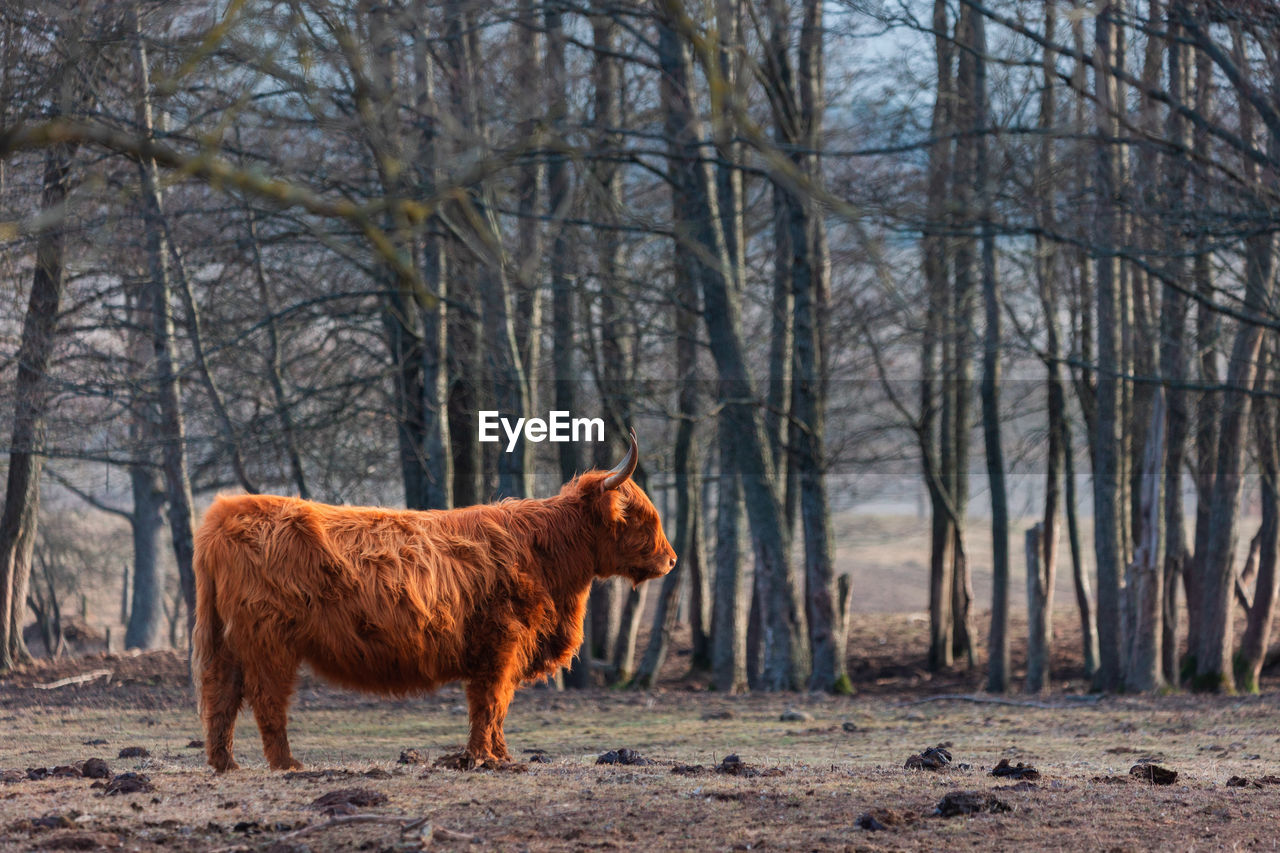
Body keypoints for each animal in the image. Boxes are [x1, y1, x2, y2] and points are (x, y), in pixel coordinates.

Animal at [189, 432, 675, 768]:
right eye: (640, 515)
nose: (670, 559)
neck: (544, 553)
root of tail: (223, 515)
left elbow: (498, 705)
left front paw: (501, 756)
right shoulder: (502, 642)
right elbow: (490, 701)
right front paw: (482, 758)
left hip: (228, 642)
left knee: (220, 695)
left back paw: (225, 764)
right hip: (269, 642)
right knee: (265, 699)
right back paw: (287, 764)